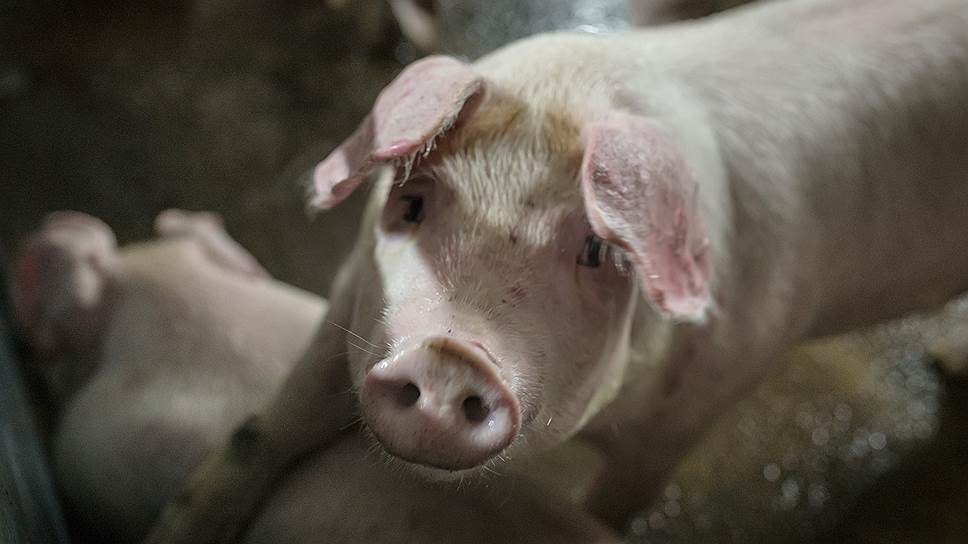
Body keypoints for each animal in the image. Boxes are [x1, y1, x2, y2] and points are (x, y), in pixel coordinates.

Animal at [147, 0, 968, 540]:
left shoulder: (694, 413)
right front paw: (180, 525)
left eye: (597, 251)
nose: (450, 353)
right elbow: (259, 434)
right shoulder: (347, 303)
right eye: (412, 203)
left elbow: (609, 511)